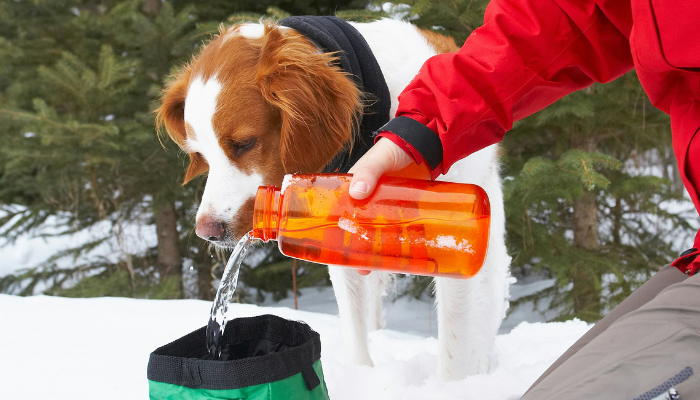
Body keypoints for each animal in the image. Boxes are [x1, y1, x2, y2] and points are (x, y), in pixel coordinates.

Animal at [157, 16, 508, 382]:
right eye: (200, 155)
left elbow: (454, 346)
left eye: (244, 143)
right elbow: (355, 328)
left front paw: (449, 386)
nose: (207, 231)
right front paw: (360, 375)